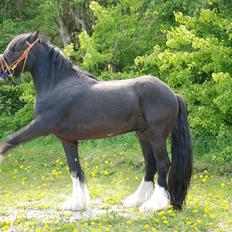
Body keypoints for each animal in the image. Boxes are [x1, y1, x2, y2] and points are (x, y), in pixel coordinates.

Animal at [0, 32, 192, 212]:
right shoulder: (67, 139)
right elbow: (75, 169)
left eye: (16, 48)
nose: (1, 66)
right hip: (143, 135)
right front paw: (77, 203)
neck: (57, 85)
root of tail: (173, 94)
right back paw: (136, 200)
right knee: (150, 165)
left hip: (156, 136)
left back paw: (153, 205)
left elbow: (12, 139)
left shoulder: (41, 125)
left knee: (163, 164)